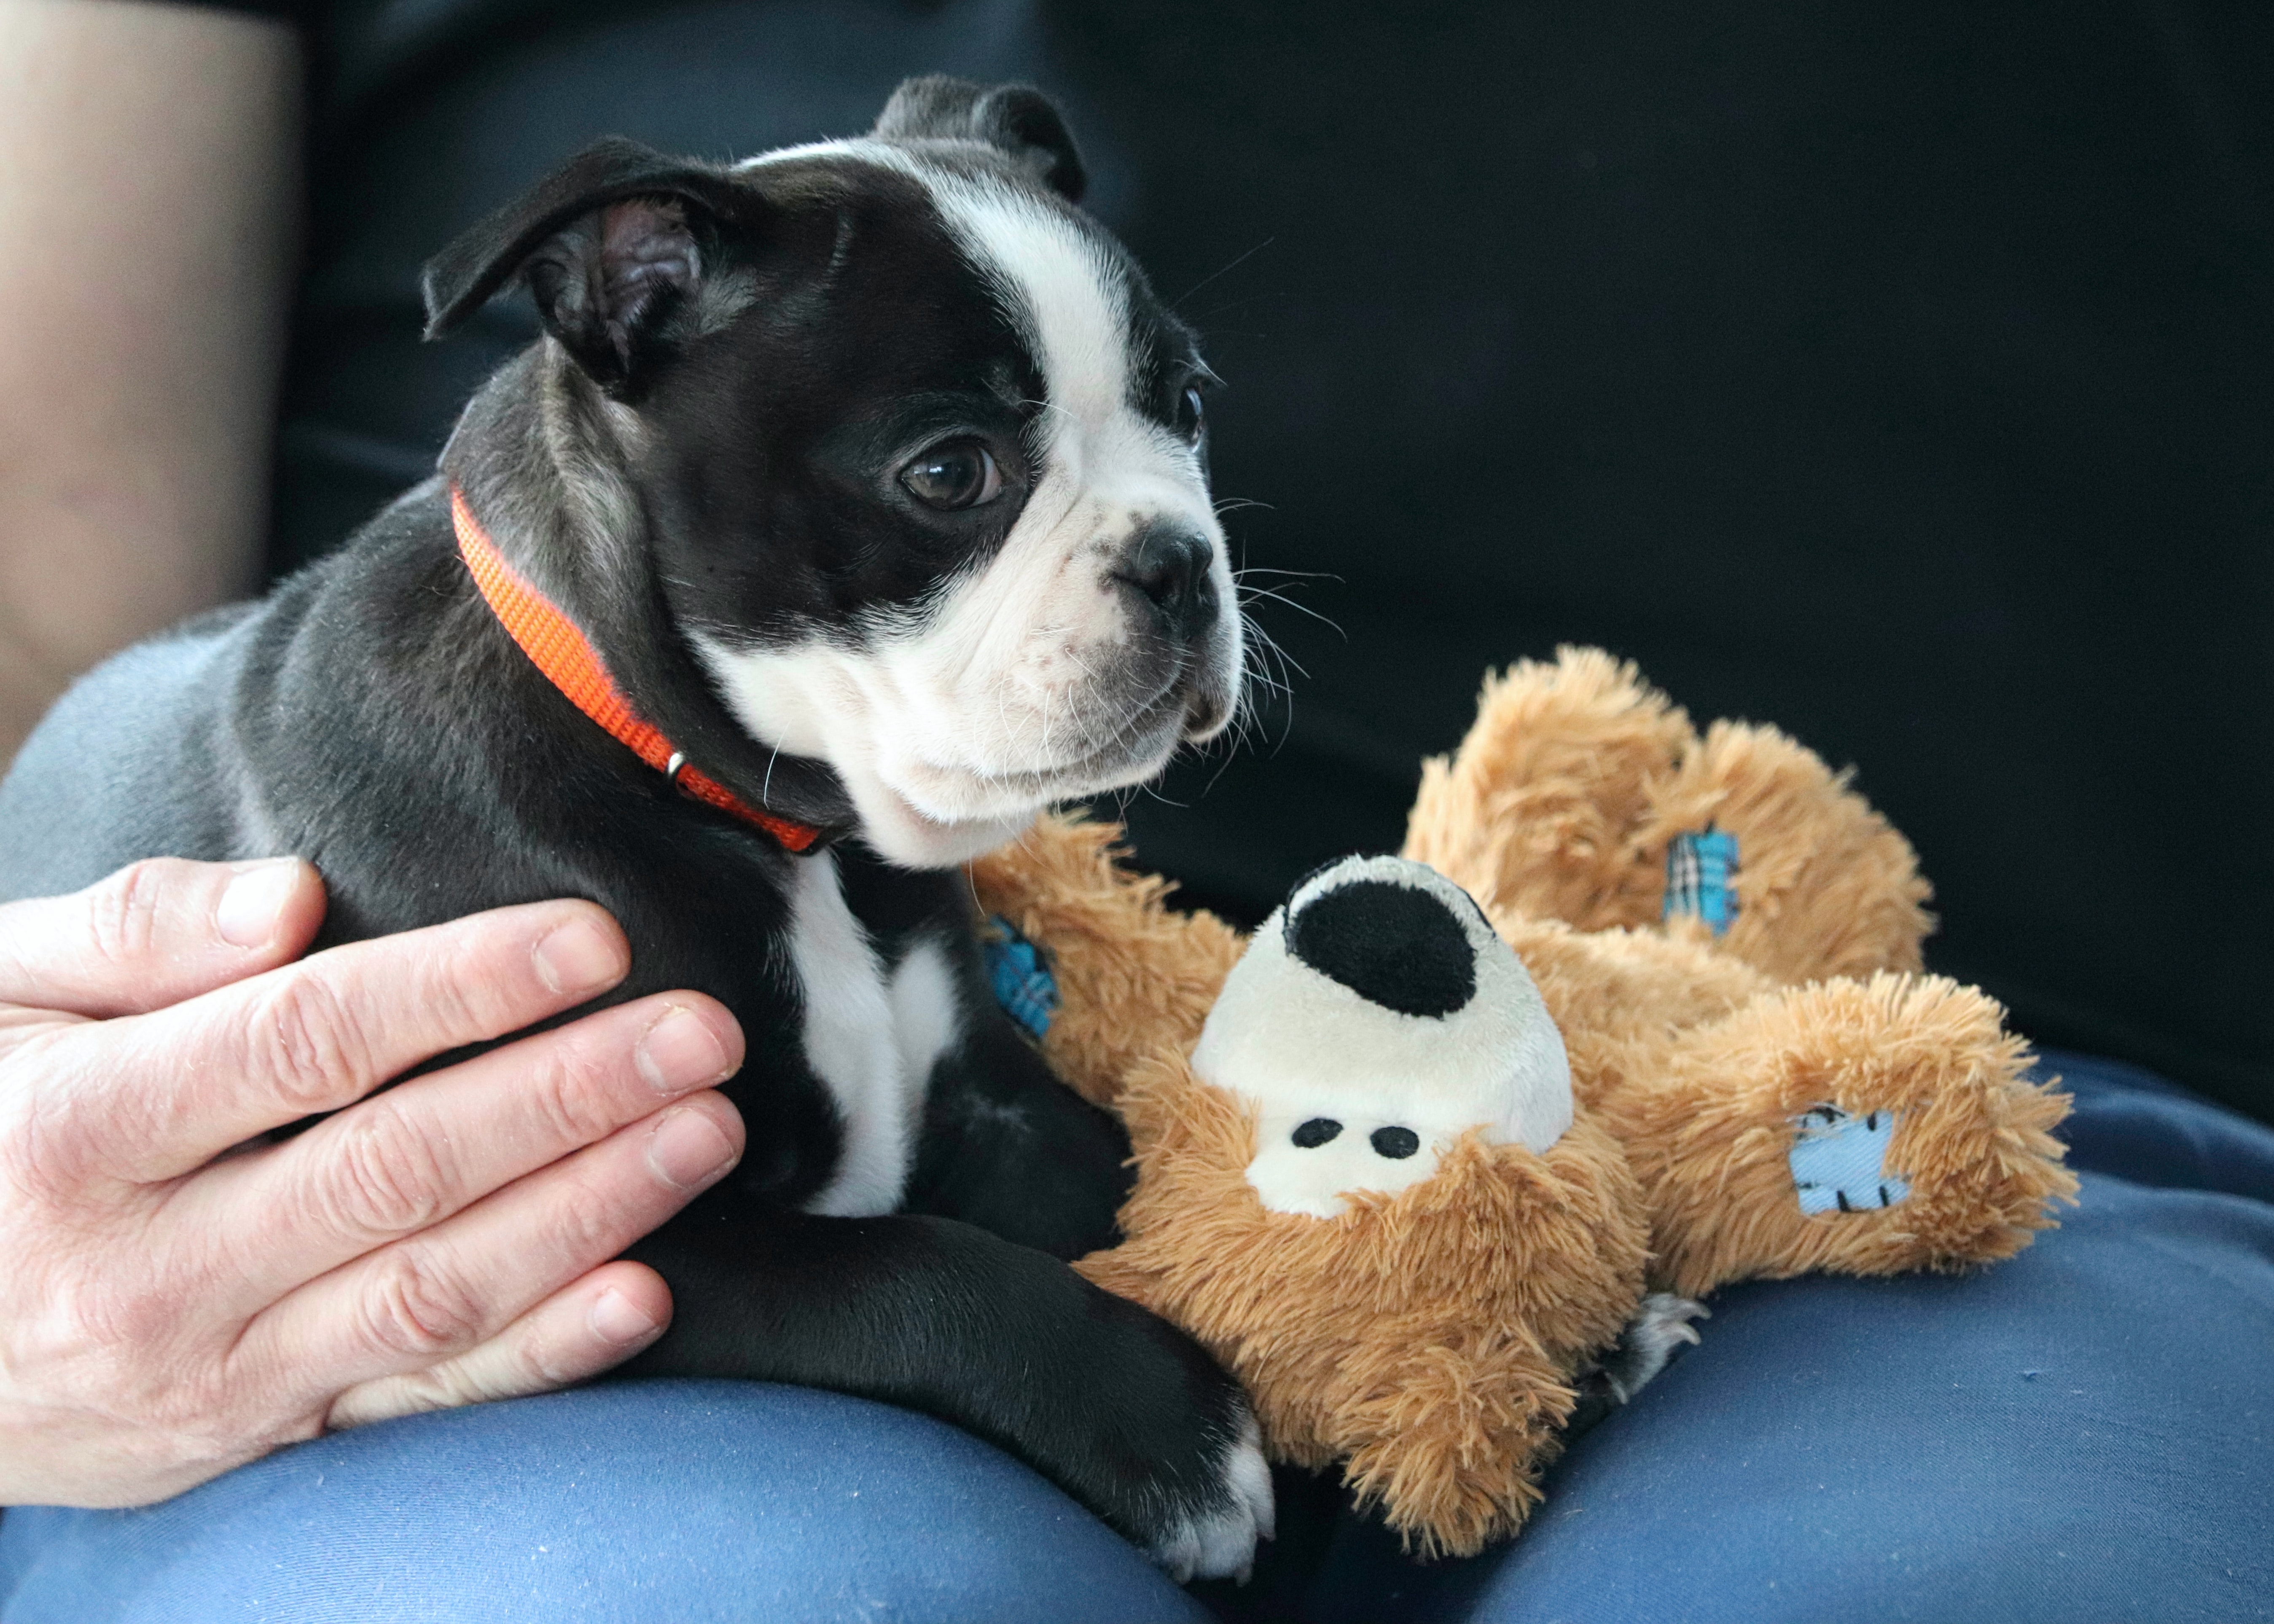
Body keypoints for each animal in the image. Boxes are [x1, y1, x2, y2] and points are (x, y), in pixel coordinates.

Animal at [0, 79, 1264, 1583]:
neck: (766, 821)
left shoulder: (985, 1087)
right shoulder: (603, 1235)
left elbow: (1104, 1171)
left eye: (1190, 406)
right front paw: (1172, 1427)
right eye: (951, 473)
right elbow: (914, 1270)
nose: (1181, 563)